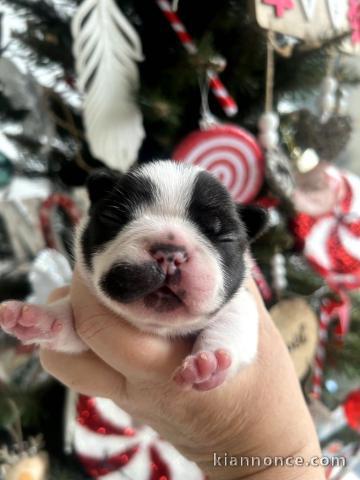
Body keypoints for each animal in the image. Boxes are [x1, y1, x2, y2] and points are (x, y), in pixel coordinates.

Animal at [0, 161, 268, 390]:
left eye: (225, 238)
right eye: (112, 217)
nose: (169, 253)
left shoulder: (243, 301)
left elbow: (233, 322)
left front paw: (211, 361)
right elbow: (69, 325)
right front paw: (44, 319)